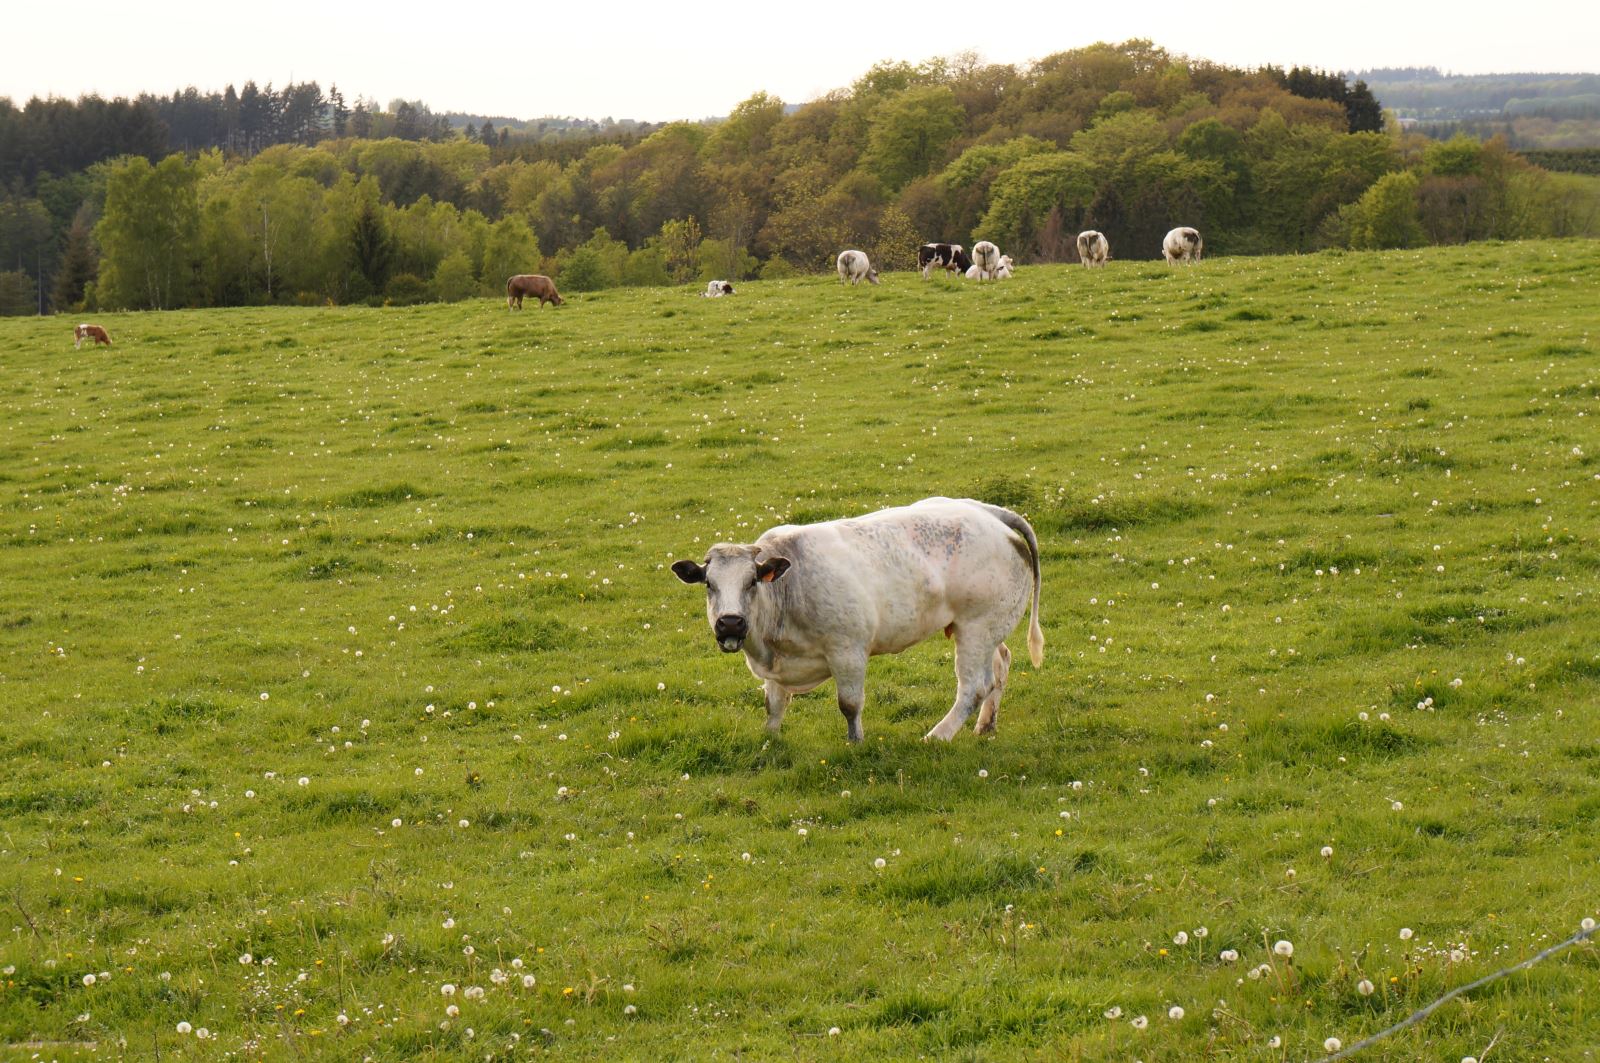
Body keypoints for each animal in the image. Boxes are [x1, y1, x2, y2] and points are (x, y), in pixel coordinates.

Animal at [668, 496, 1043, 739]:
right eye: (709, 584)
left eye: (751, 582)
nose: (730, 623)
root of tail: (990, 513)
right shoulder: (778, 668)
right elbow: (773, 706)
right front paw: (769, 742)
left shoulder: (847, 651)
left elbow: (849, 705)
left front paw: (856, 742)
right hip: (985, 630)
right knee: (1000, 665)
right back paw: (985, 725)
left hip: (976, 627)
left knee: (973, 686)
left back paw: (937, 736)